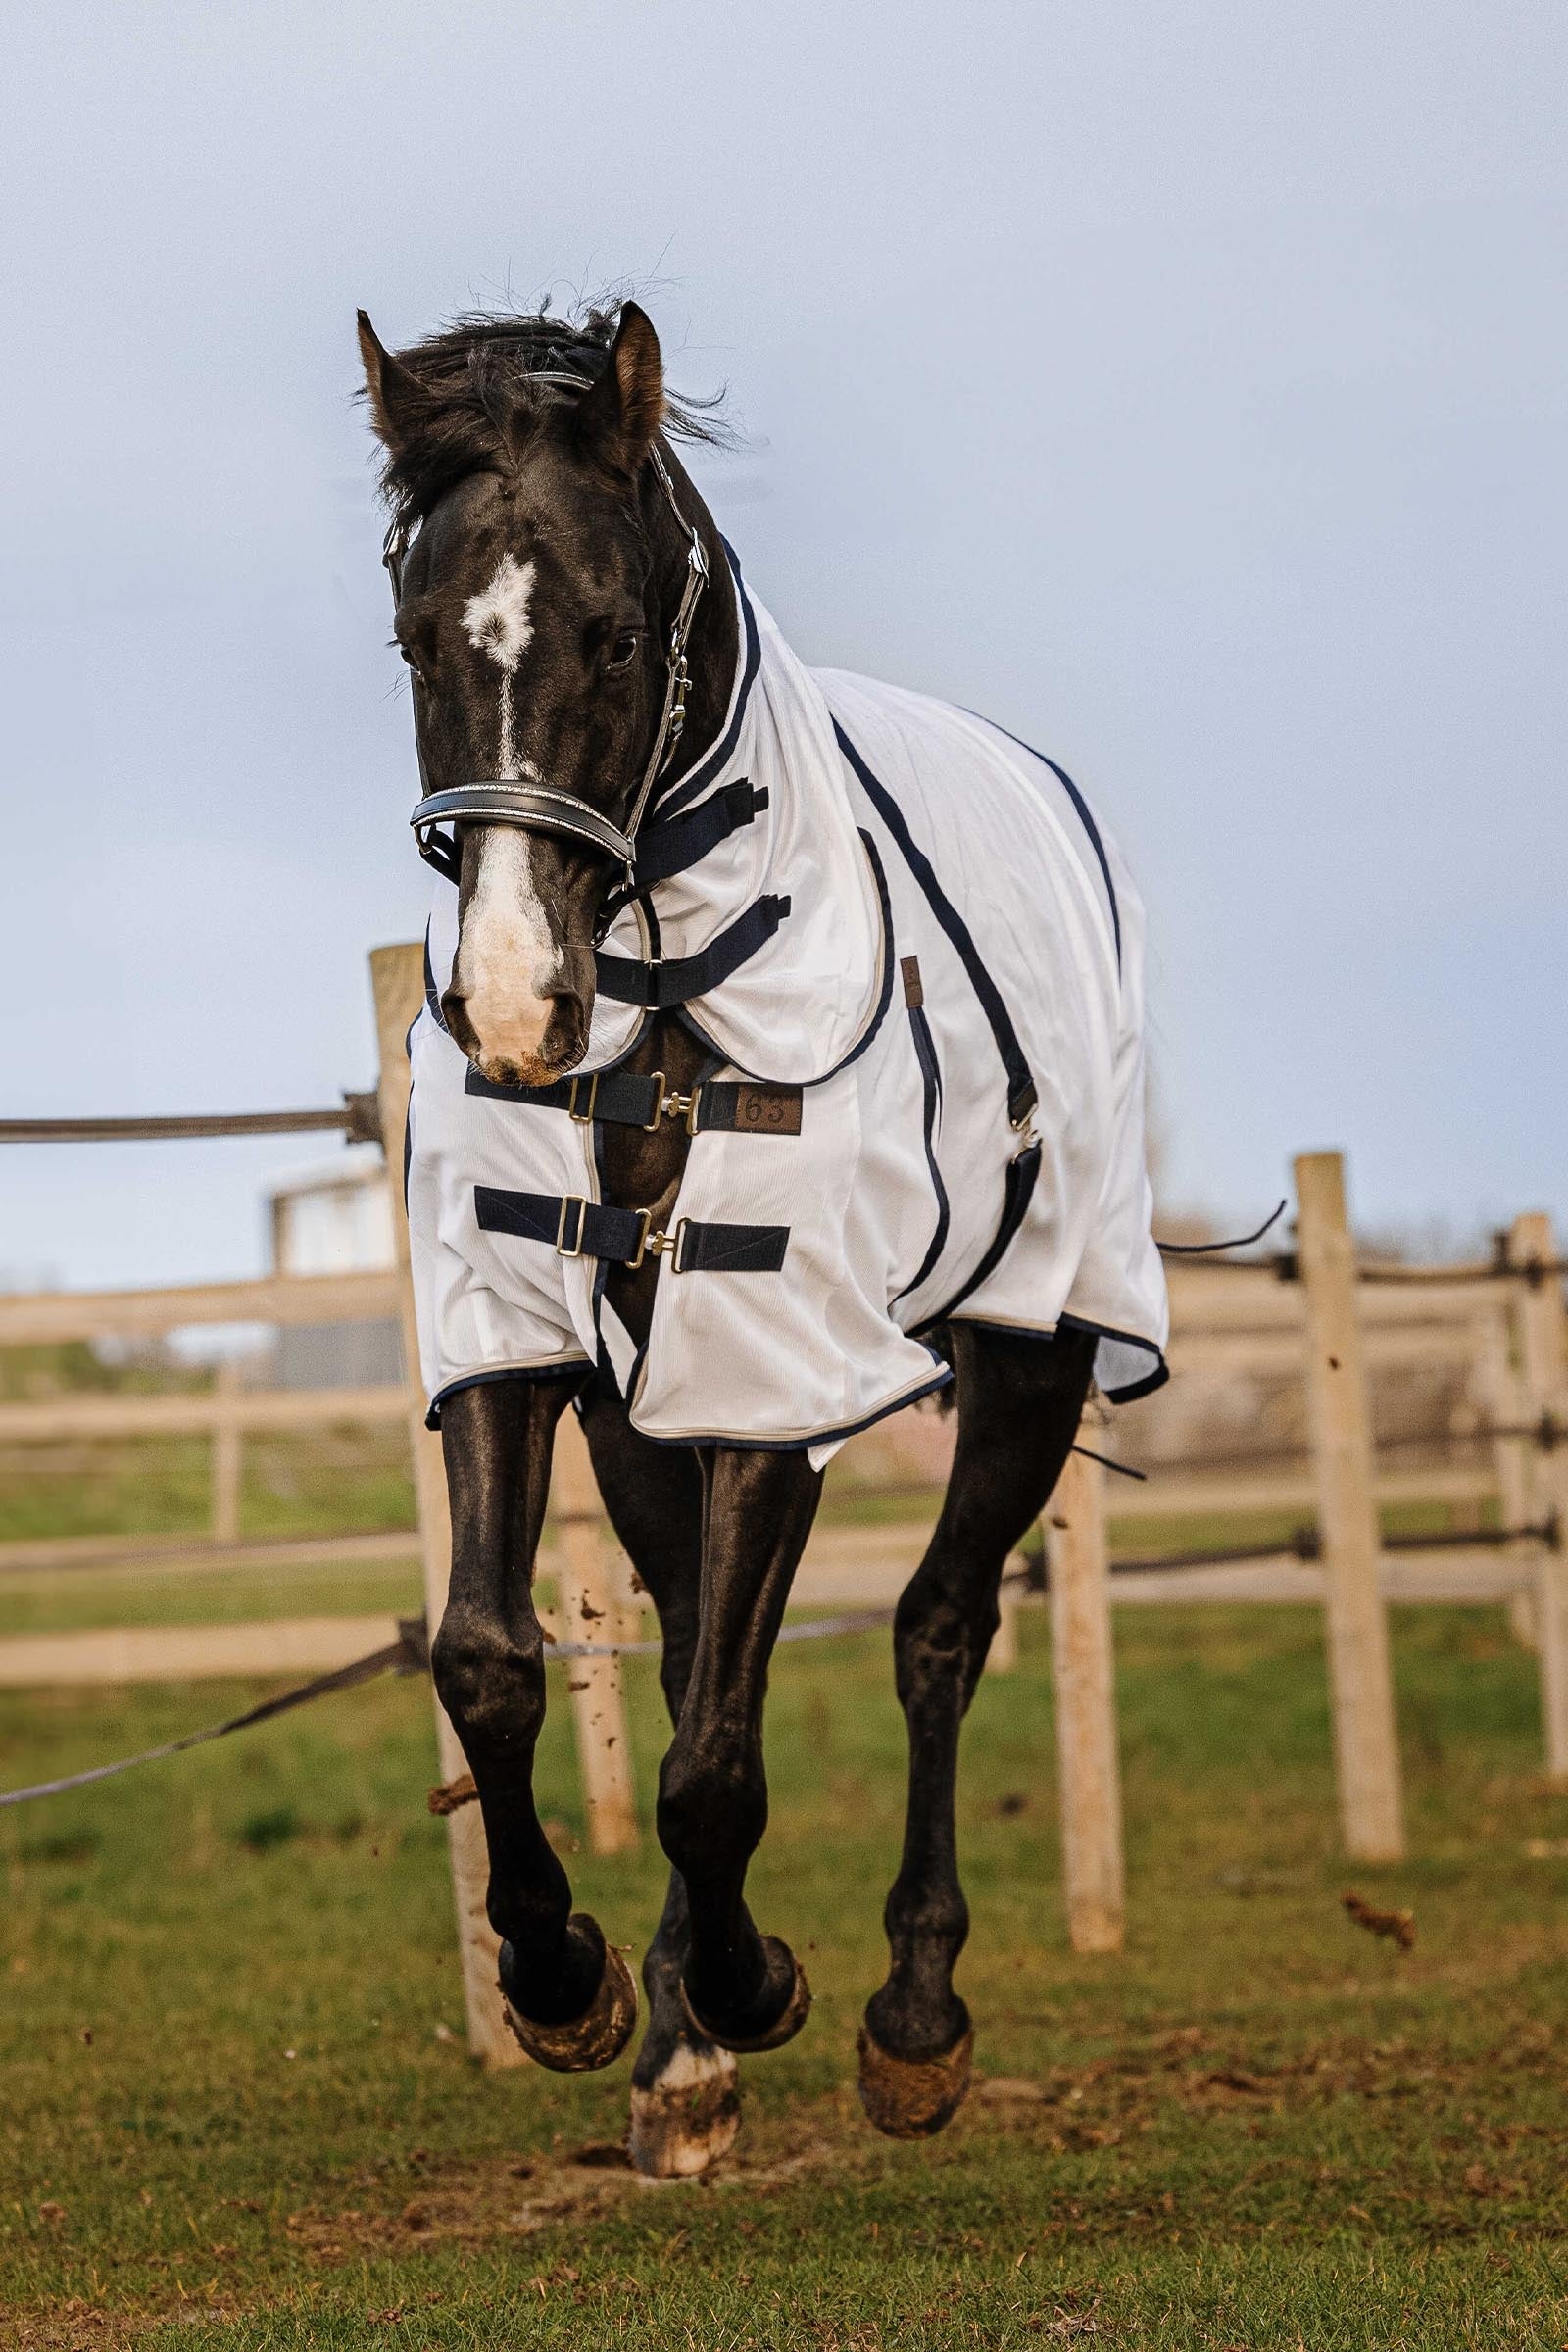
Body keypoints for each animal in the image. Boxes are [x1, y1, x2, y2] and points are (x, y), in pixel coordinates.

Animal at [358, 298, 1168, 2177]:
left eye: (611, 631)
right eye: (419, 634)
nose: (514, 1002)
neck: (661, 1005)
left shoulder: (777, 1363)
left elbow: (719, 1761)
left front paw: (756, 1986)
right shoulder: (522, 1325)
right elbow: (498, 1664)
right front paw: (578, 1986)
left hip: (1036, 1351)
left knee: (940, 1629)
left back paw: (911, 2013)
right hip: (645, 1413)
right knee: (679, 1652)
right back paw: (678, 2041)